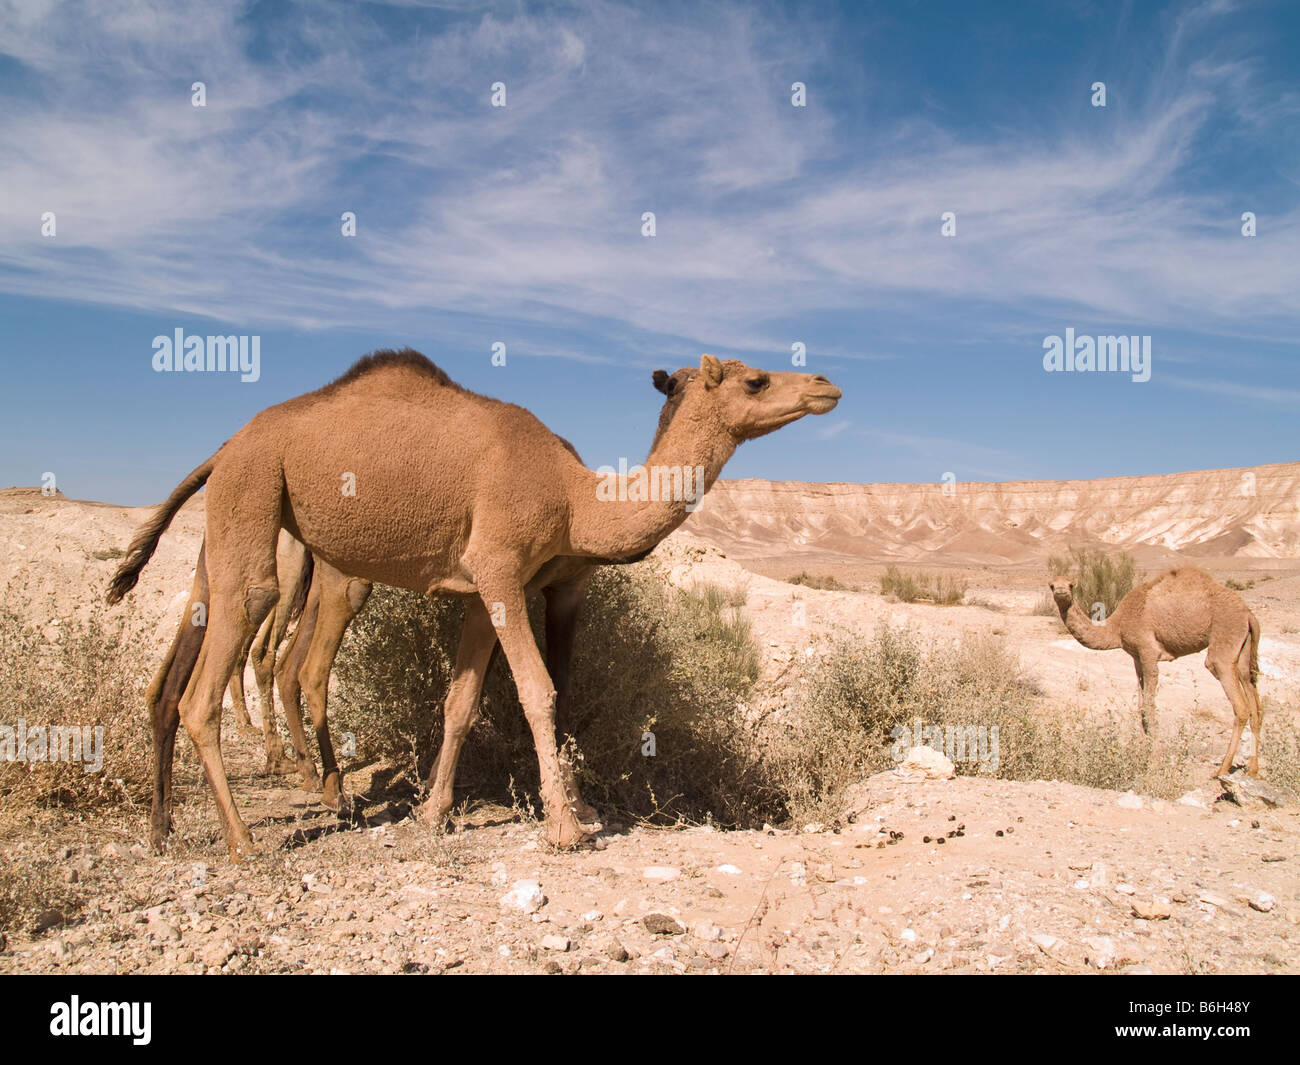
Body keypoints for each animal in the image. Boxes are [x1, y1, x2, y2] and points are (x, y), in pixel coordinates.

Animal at [109, 353, 832, 863]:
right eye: (757, 380)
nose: (827, 383)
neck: (576, 496)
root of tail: (224, 447)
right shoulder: (503, 567)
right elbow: (539, 690)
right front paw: (566, 826)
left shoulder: (486, 589)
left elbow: (460, 702)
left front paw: (432, 814)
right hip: (259, 494)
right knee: (216, 674)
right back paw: (246, 838)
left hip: (235, 524)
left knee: (182, 670)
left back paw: (165, 830)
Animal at [1050, 566, 1263, 785]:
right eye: (1052, 585)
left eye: (1071, 585)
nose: (1061, 591)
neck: (1117, 625)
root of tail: (1248, 614)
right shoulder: (1136, 657)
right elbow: (1140, 707)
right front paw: (1142, 757)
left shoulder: (1148, 652)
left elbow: (1149, 707)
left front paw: (1154, 764)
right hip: (1244, 651)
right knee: (1255, 703)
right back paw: (1252, 770)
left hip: (1223, 647)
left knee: (1240, 706)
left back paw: (1222, 770)